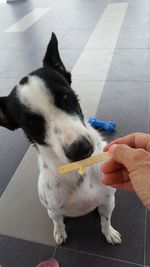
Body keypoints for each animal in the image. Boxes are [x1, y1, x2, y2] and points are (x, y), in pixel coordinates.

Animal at [0, 33, 120, 247]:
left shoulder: (108, 201)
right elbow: (57, 222)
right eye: (32, 122)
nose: (80, 149)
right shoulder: (53, 209)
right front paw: (60, 232)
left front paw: (109, 232)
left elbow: (105, 220)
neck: (78, 170)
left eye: (65, 97)